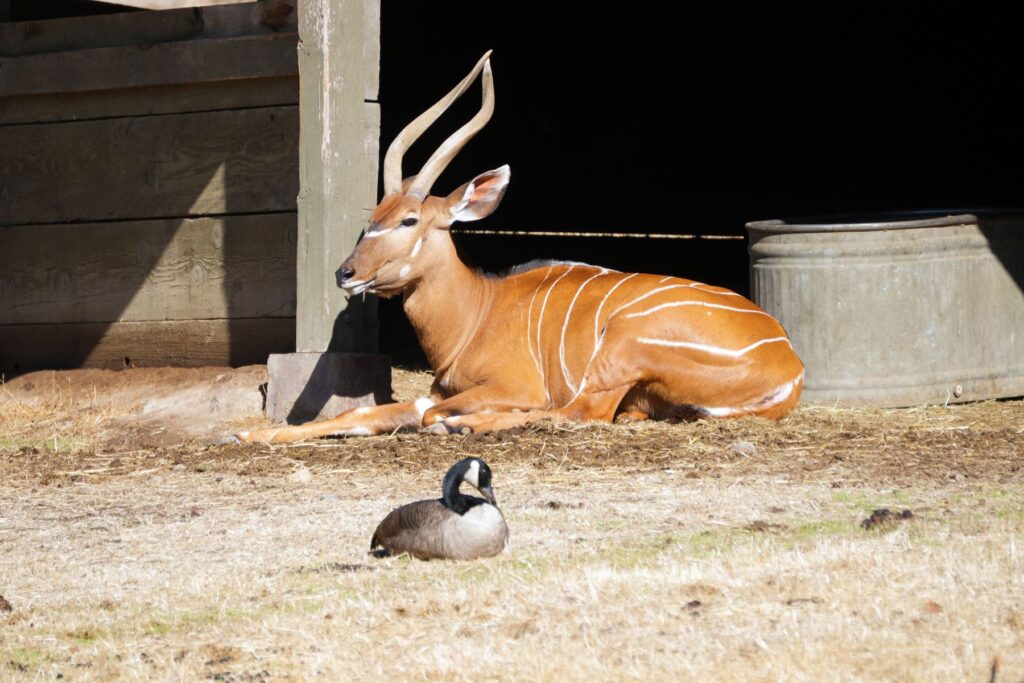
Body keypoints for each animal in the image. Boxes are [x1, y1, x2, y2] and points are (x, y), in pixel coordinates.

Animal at [235, 49, 802, 444]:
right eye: (372, 218)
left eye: (409, 219)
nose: (346, 273)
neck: (476, 315)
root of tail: (788, 365)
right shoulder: (436, 391)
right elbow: (364, 412)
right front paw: (252, 433)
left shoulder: (511, 386)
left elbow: (436, 411)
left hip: (621, 350)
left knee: (579, 413)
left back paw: (465, 427)